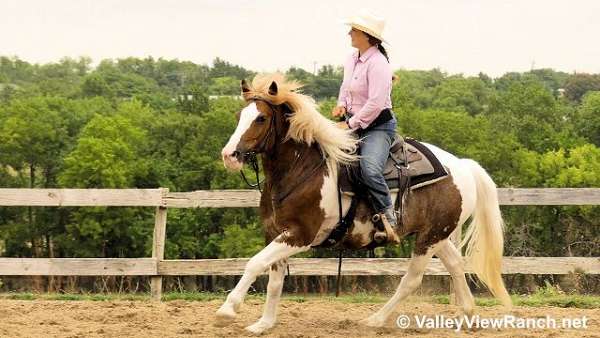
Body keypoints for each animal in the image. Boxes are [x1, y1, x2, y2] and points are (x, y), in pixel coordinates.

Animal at [217, 72, 510, 334]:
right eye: (239, 117)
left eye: (261, 118)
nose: (229, 155)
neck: (302, 170)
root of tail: (462, 165)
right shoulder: (276, 233)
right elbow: (274, 280)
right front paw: (263, 324)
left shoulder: (300, 235)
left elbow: (254, 263)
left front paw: (228, 310)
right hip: (436, 235)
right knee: (456, 265)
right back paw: (468, 315)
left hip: (429, 238)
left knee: (412, 279)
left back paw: (376, 320)